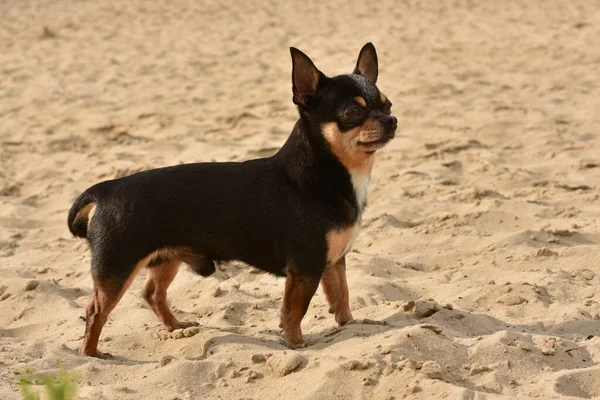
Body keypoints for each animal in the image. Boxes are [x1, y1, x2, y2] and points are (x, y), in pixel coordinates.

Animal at [68, 43, 396, 356]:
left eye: (388, 104)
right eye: (352, 114)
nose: (391, 119)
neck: (333, 172)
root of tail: (108, 188)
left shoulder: (333, 262)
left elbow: (342, 296)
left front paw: (351, 325)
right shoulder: (305, 268)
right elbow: (294, 310)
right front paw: (296, 343)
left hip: (165, 259)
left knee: (152, 293)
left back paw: (176, 327)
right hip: (117, 269)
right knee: (96, 311)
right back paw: (91, 354)